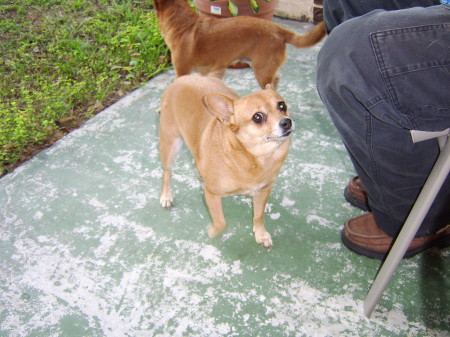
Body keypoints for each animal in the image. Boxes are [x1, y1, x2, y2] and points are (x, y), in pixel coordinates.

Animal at [160, 75, 294, 247]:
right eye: (257, 117)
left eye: (282, 105)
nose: (287, 122)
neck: (255, 158)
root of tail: (182, 78)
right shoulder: (211, 194)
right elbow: (221, 222)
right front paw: (212, 231)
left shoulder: (263, 191)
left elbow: (258, 216)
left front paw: (261, 233)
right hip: (170, 146)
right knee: (167, 173)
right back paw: (166, 196)